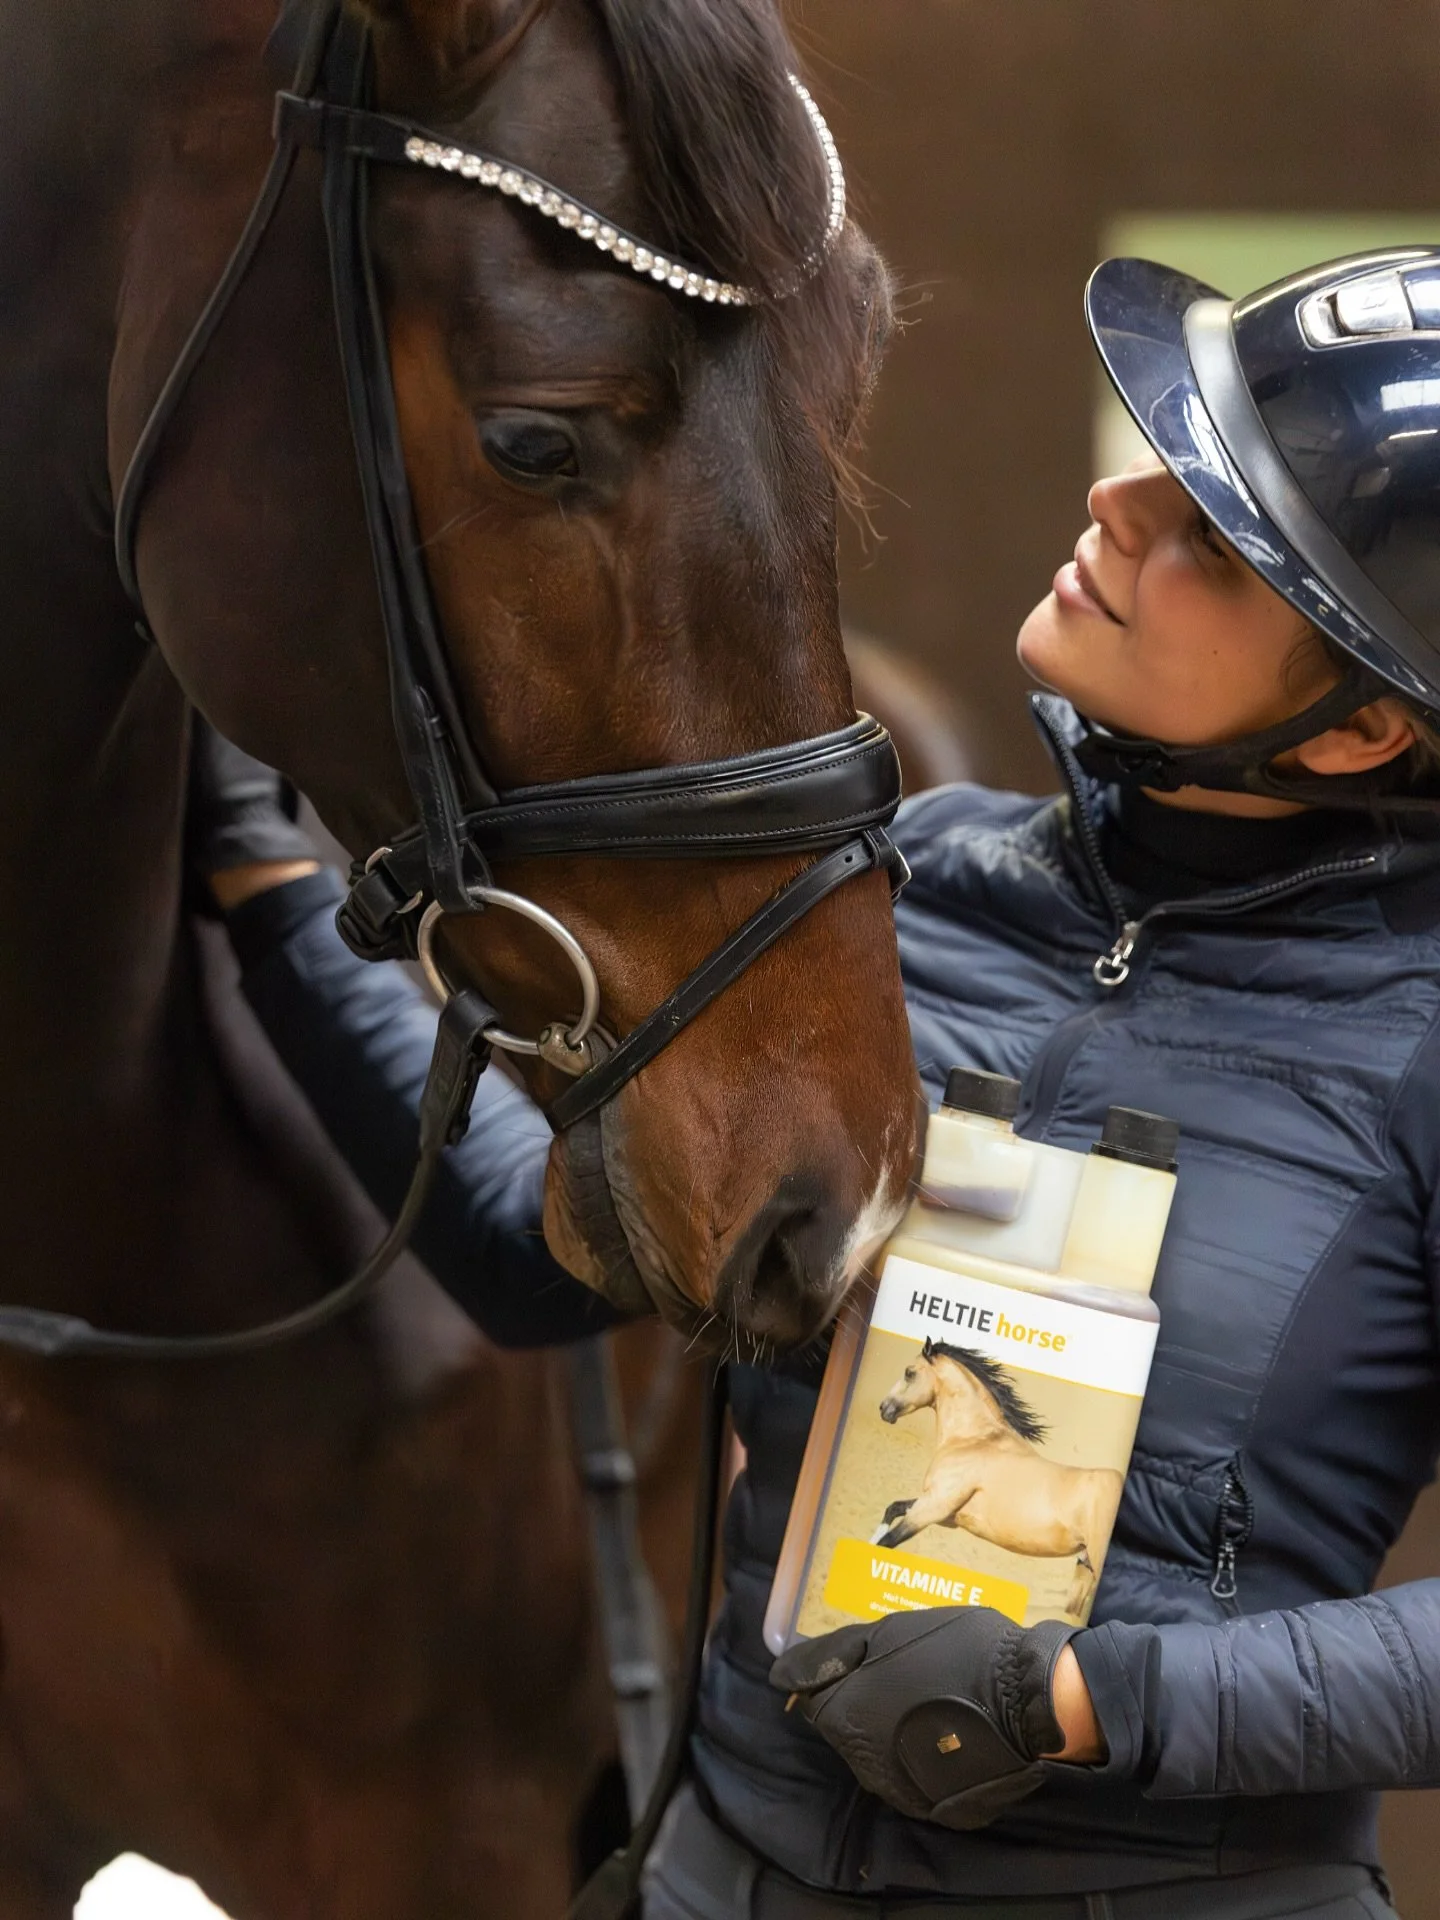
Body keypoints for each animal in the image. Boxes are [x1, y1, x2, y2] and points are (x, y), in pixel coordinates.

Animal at [875, 1340, 1122, 1619]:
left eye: (909, 1372)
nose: (884, 1408)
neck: (973, 1439)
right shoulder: (943, 1514)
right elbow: (892, 1509)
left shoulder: (931, 1508)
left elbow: (886, 1542)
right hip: (1084, 1566)